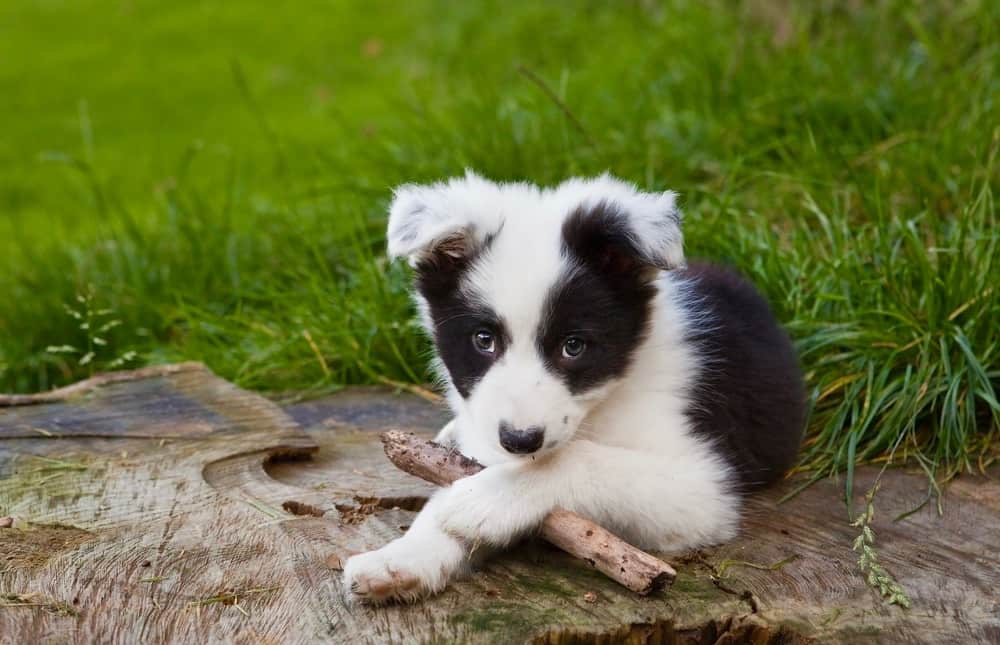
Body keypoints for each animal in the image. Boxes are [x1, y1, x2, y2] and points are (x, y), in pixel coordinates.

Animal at [344, 172, 804, 604]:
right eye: (483, 340)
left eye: (573, 346)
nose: (520, 440)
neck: (605, 399)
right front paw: (399, 558)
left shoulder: (703, 486)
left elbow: (578, 458)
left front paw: (485, 501)